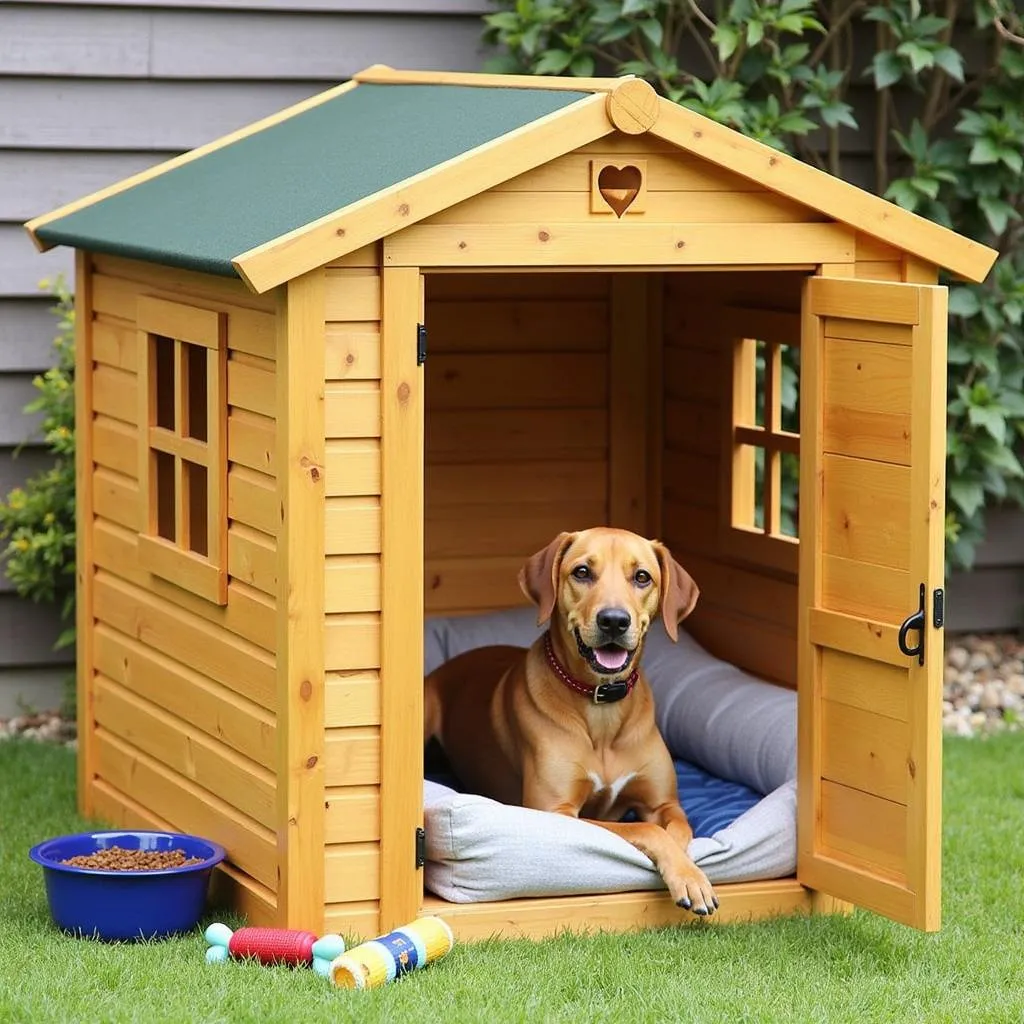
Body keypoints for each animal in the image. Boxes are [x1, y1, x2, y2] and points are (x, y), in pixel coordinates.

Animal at [423, 528, 720, 913]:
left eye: (642, 577)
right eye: (582, 572)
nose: (614, 620)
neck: (601, 704)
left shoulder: (664, 804)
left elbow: (677, 830)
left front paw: (688, 870)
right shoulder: (557, 812)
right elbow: (645, 830)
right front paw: (687, 874)